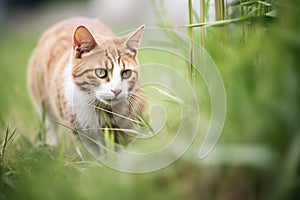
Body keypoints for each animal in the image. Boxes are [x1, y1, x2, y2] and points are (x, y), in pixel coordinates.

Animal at [27, 17, 145, 155]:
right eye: (101, 72)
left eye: (126, 73)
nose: (117, 90)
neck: (100, 109)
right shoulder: (80, 129)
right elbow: (97, 151)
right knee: (50, 123)